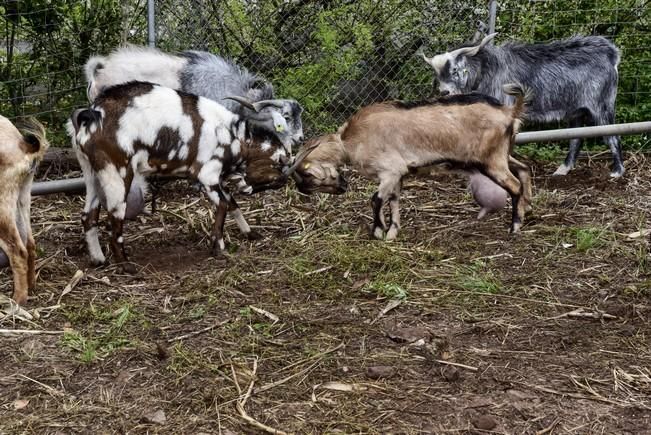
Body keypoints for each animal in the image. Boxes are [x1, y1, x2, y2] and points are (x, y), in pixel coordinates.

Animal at [66, 82, 308, 272]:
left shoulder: (216, 180)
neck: (235, 136)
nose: (282, 180)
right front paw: (218, 248)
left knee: (88, 216)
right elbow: (223, 205)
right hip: (118, 174)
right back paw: (125, 265)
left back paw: (99, 260)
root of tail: (93, 115)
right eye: (278, 165)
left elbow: (232, 203)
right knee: (115, 218)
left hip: (93, 176)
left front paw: (250, 233)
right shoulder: (207, 175)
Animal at [296, 83, 536, 240]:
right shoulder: (398, 174)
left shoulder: (390, 170)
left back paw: (515, 227)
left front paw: (378, 232)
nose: (300, 190)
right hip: (501, 155)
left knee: (515, 185)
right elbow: (393, 200)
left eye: (307, 176)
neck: (351, 141)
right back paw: (528, 207)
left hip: (492, 161)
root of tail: (510, 112)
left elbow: (376, 199)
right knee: (524, 169)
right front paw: (392, 232)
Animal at [420, 32, 624, 177]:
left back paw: (617, 171)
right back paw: (563, 170)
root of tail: (610, 54)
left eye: (455, 70)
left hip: (601, 106)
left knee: (612, 134)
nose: (444, 92)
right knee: (576, 137)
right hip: (576, 110)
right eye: (437, 74)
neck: (487, 70)